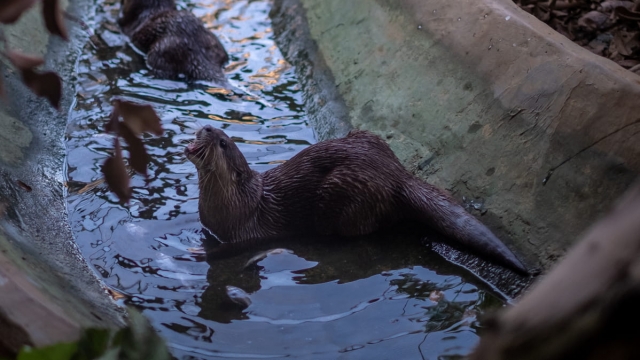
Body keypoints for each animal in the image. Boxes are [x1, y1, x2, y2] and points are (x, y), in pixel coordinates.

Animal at [186, 125, 528, 274]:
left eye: (223, 142)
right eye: (216, 130)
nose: (206, 126)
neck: (236, 205)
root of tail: (396, 176)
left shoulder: (243, 233)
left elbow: (226, 251)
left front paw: (198, 255)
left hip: (343, 190)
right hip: (366, 137)